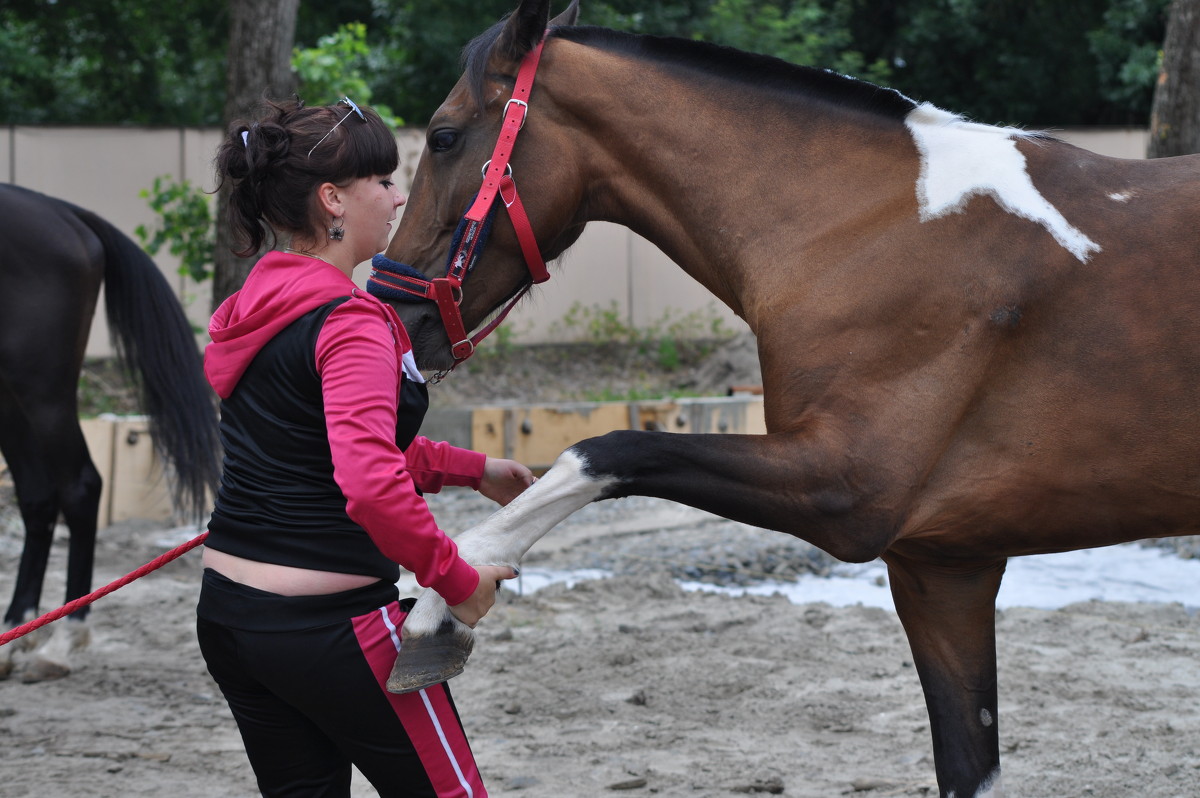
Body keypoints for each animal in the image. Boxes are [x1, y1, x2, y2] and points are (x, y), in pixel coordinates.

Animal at [372, 3, 1200, 792]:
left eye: (443, 137)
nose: (397, 310)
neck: (871, 230)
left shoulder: (844, 490)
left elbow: (604, 451)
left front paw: (441, 605)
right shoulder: (944, 567)